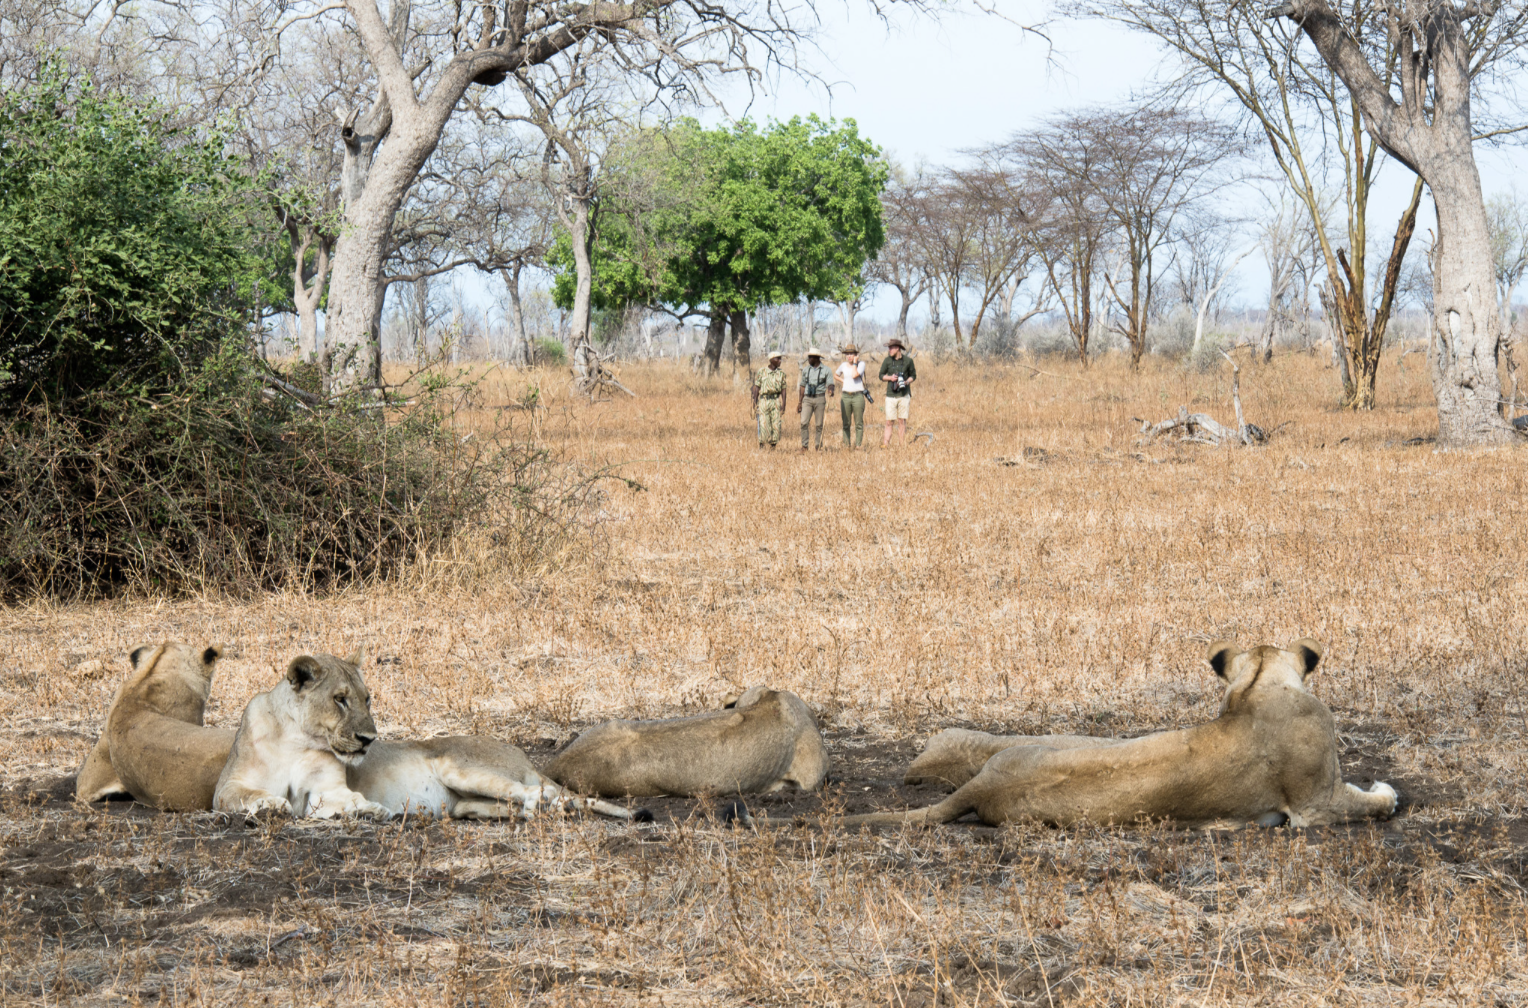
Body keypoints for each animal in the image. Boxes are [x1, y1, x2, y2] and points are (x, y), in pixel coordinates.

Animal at [213, 649, 641, 821]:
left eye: (367, 699)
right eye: (340, 700)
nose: (369, 739)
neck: (298, 738)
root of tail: (518, 752)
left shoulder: (326, 789)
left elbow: (347, 799)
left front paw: (371, 811)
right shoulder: (227, 786)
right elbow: (247, 795)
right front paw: (271, 804)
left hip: (461, 767)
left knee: (536, 792)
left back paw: (543, 808)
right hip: (466, 805)